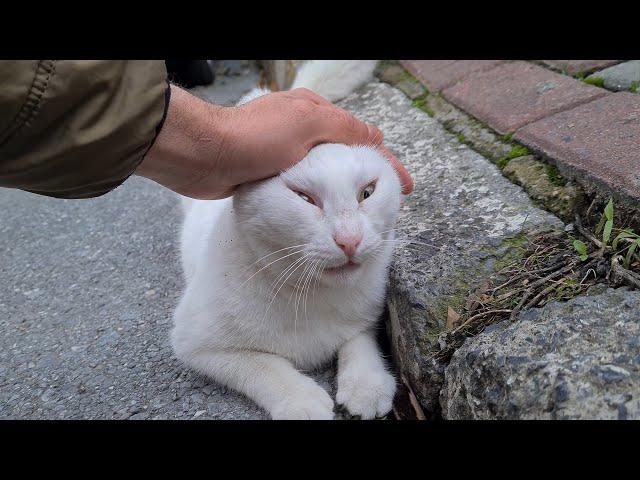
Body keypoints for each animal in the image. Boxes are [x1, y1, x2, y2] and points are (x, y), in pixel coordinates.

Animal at [170, 61, 400, 420]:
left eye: (367, 192)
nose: (349, 240)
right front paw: (301, 401)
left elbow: (360, 338)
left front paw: (367, 382)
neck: (311, 296)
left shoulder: (369, 311)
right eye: (304, 198)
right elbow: (260, 366)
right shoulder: (195, 341)